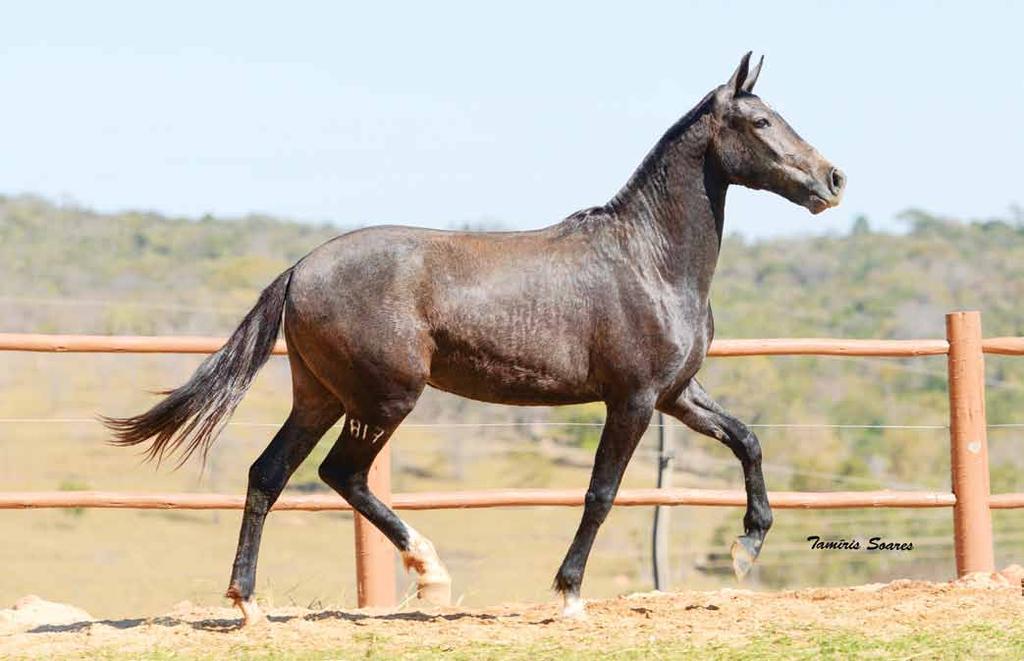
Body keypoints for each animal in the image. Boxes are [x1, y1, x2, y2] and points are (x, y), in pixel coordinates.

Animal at [103, 53, 843, 626]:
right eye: (759, 122)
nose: (833, 180)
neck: (648, 260)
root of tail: (298, 270)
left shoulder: (677, 394)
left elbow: (747, 439)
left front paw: (748, 545)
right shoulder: (631, 399)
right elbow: (601, 493)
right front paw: (569, 595)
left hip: (320, 396)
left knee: (269, 474)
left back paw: (250, 606)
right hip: (385, 399)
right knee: (341, 473)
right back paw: (429, 575)